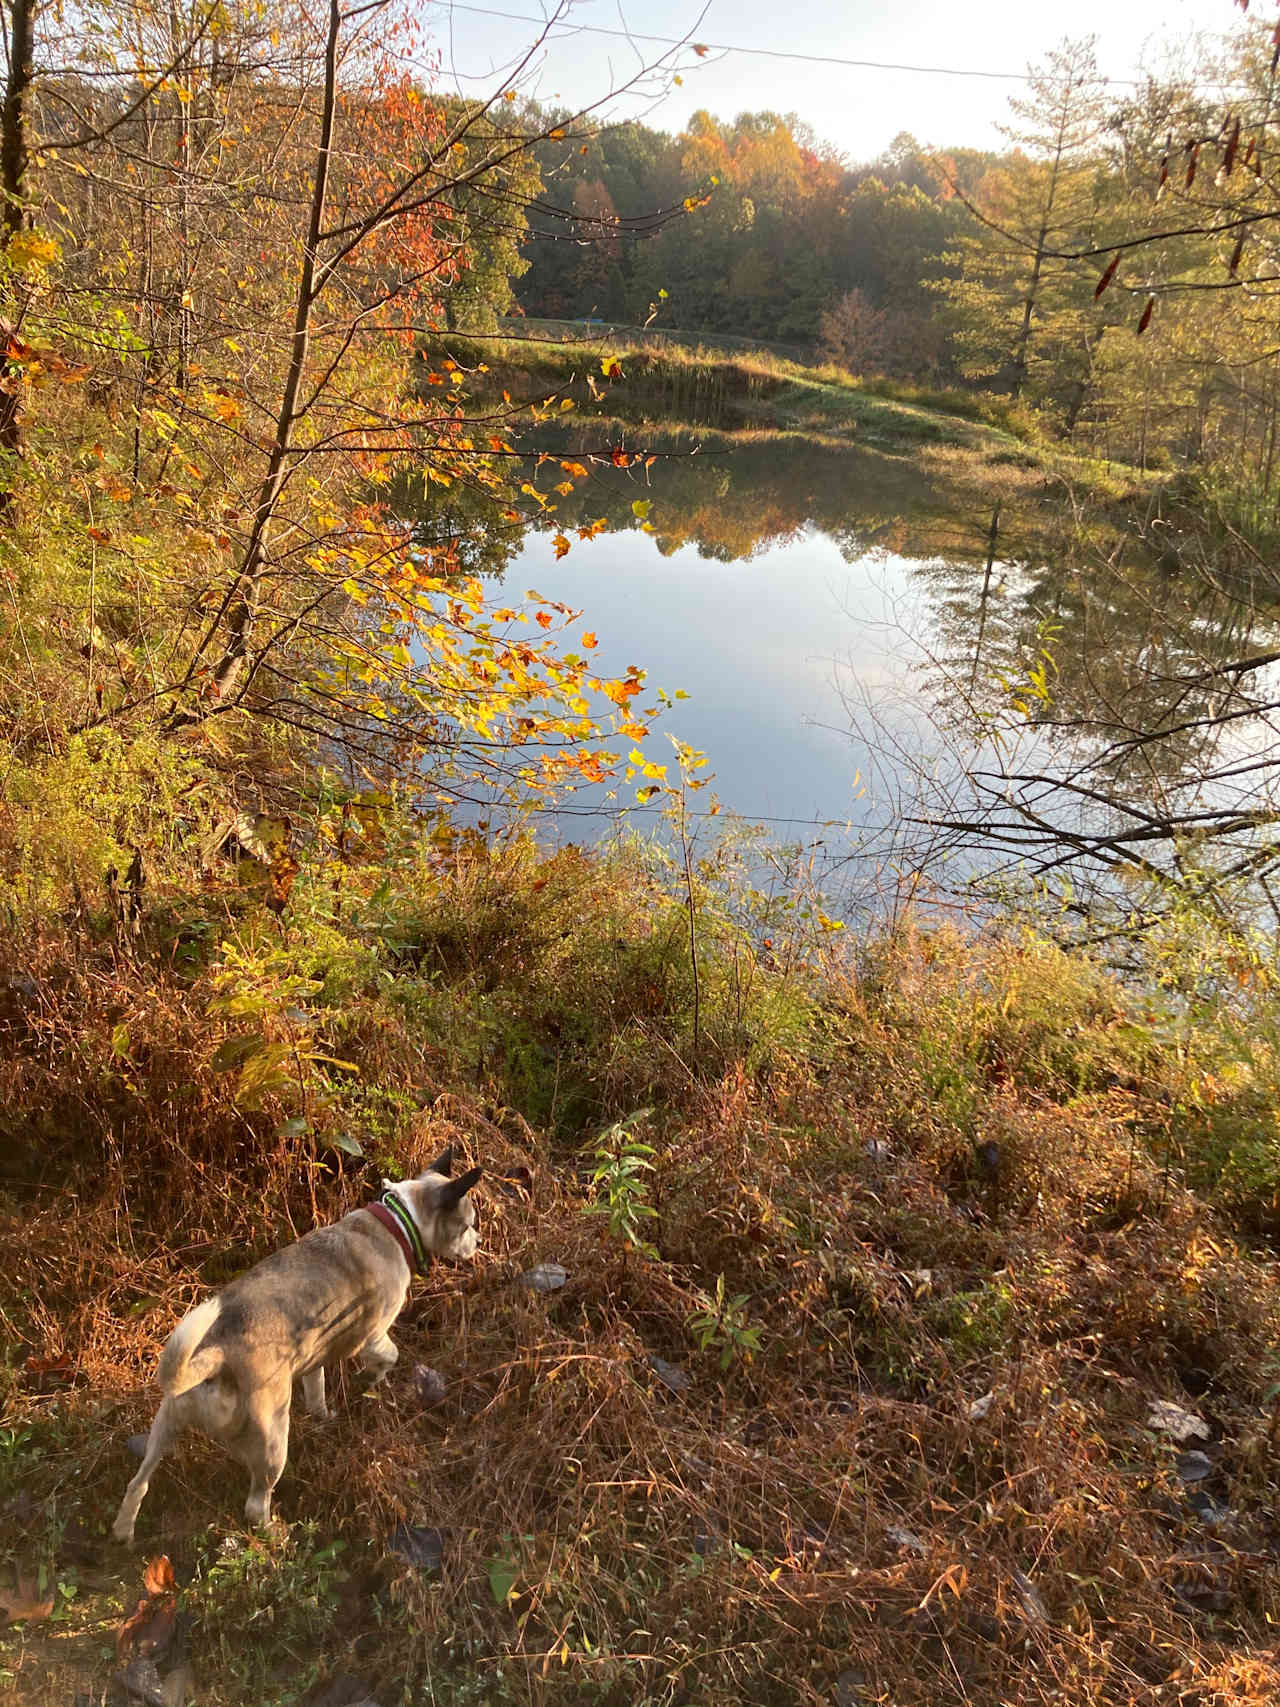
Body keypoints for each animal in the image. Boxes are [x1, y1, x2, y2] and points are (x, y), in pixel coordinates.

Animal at [112, 1153, 484, 1543]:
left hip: (165, 1424)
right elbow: (388, 1357)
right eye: (468, 1225)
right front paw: (370, 1381)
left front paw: (324, 1415)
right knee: (256, 1503)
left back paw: (124, 1531)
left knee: (138, 1483)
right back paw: (276, 1533)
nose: (478, 1239)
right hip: (274, 1439)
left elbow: (317, 1388)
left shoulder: (313, 1361)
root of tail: (217, 1352)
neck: (400, 1219)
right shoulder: (372, 1336)